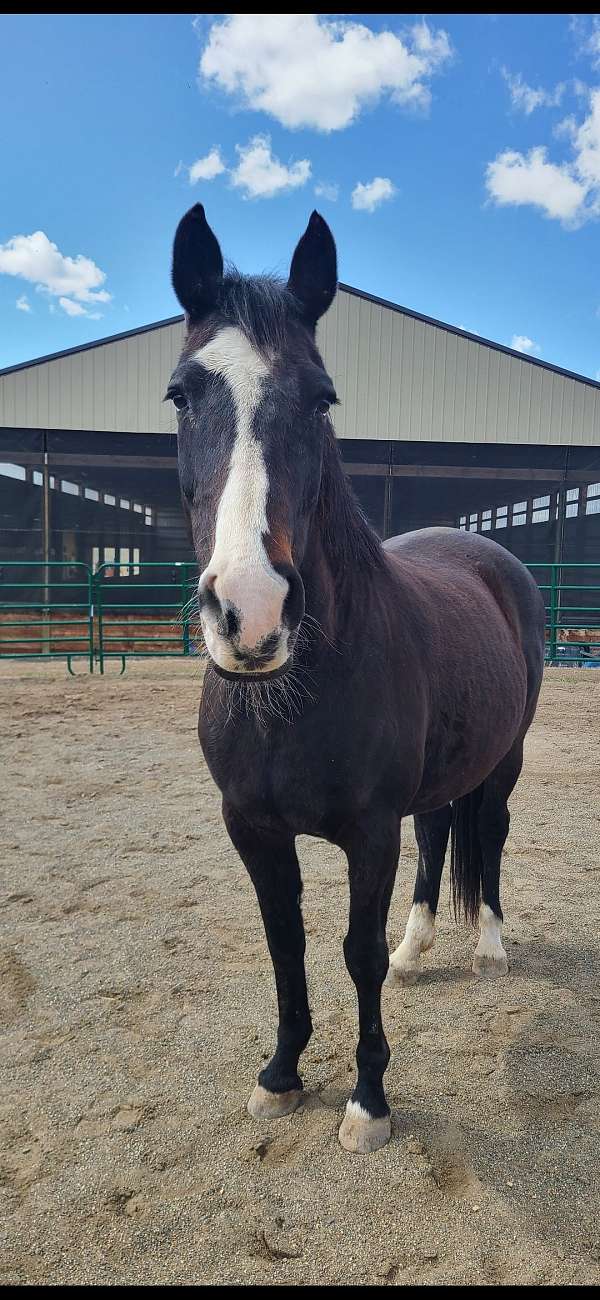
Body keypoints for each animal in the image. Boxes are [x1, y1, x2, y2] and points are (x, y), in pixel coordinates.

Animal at [166, 205, 545, 1159]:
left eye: (322, 398)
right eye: (183, 393)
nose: (252, 610)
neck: (292, 701)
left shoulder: (370, 834)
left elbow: (353, 952)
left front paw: (369, 1101)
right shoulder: (253, 830)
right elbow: (286, 944)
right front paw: (280, 1075)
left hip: (507, 758)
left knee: (491, 832)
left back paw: (488, 946)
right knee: (443, 829)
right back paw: (420, 949)